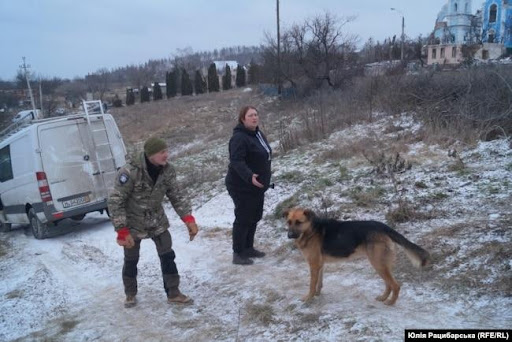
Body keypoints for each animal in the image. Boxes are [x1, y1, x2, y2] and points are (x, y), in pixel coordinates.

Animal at [286, 207, 430, 306]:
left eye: (298, 222)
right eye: (289, 222)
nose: (289, 235)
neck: (310, 230)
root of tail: (383, 226)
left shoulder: (314, 265)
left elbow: (311, 284)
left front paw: (308, 298)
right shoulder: (319, 265)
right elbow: (319, 283)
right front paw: (317, 294)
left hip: (378, 264)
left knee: (395, 285)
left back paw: (390, 302)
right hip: (381, 264)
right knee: (388, 284)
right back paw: (383, 297)